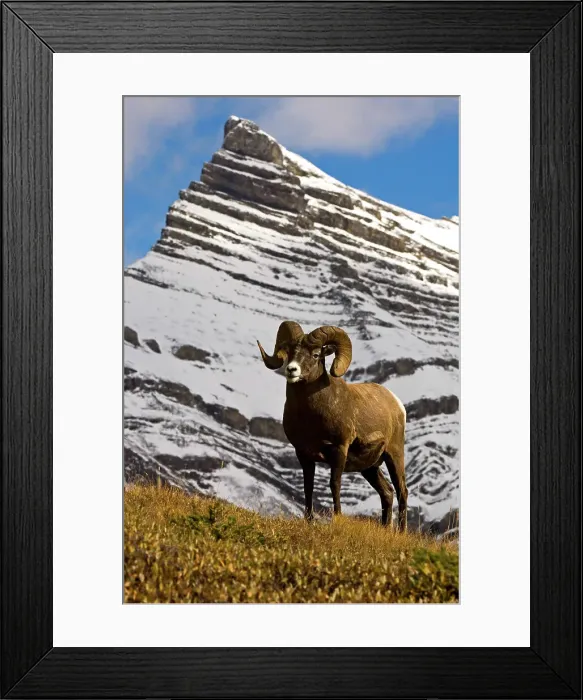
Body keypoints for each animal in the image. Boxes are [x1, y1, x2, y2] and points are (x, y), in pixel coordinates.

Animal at [257, 321, 408, 530]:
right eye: (290, 351)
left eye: (315, 355)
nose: (292, 370)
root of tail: (396, 403)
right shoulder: (303, 454)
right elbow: (308, 486)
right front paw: (309, 520)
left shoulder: (338, 450)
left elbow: (334, 484)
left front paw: (337, 519)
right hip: (369, 468)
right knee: (387, 492)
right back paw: (386, 529)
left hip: (394, 455)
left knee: (402, 491)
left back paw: (401, 532)